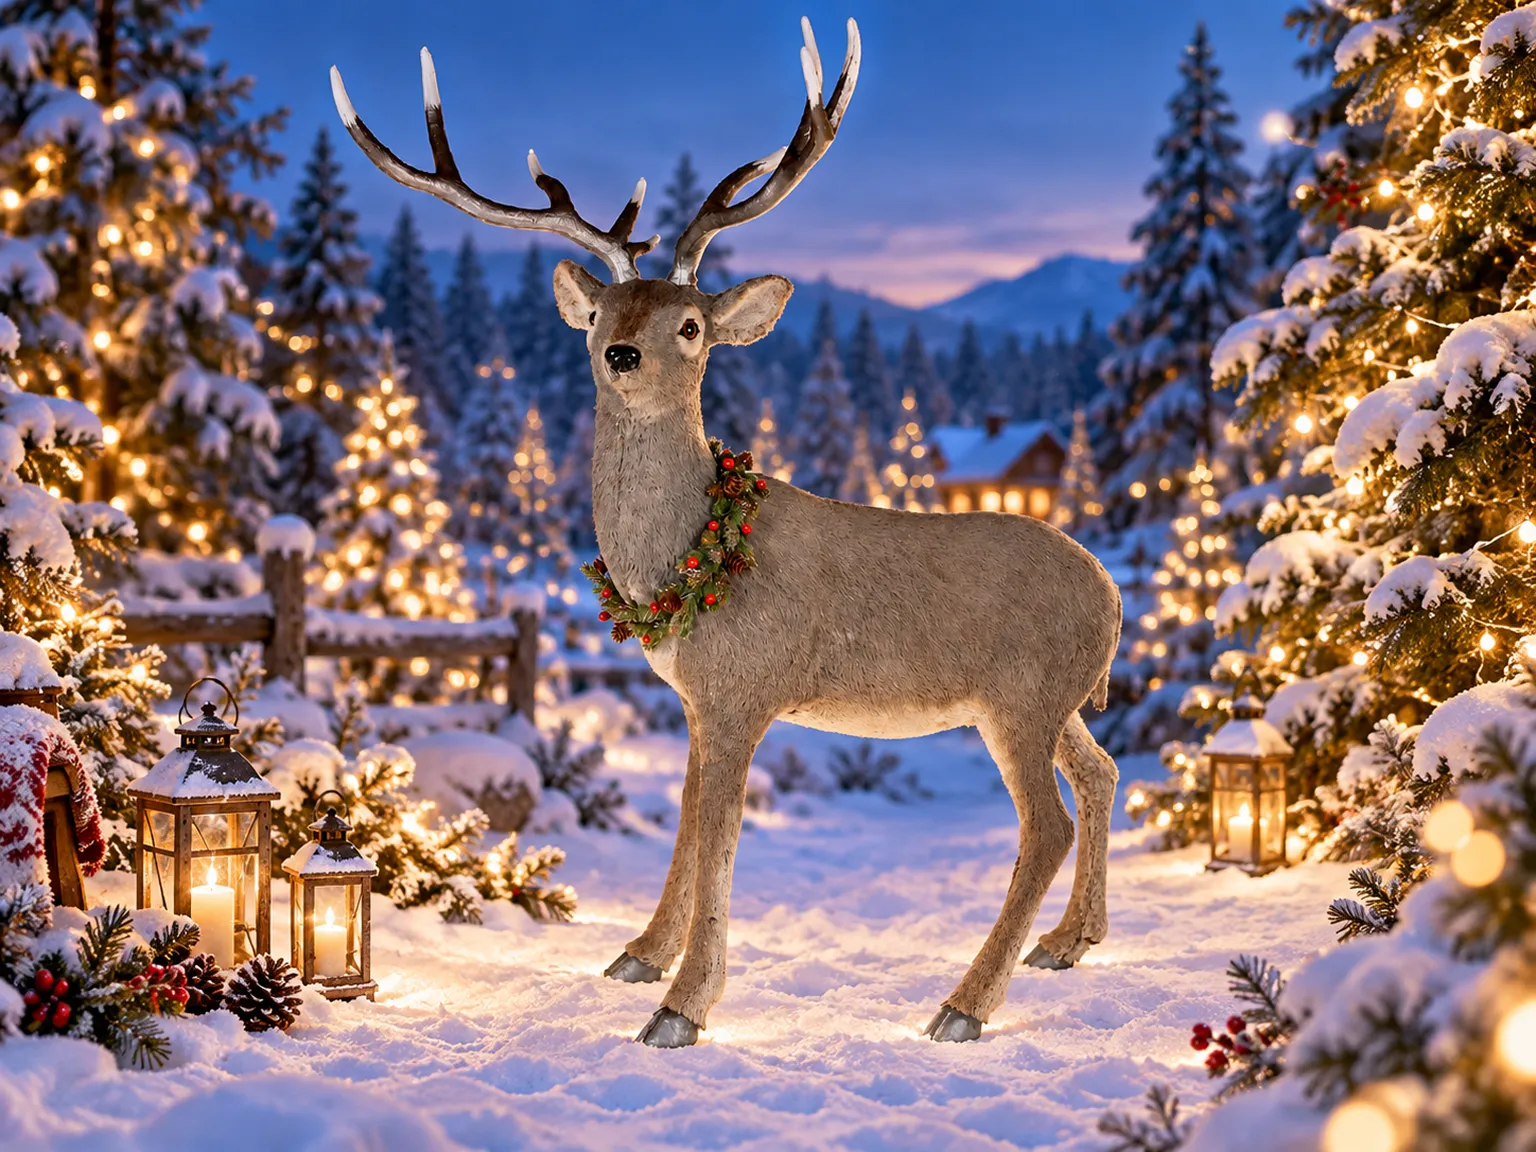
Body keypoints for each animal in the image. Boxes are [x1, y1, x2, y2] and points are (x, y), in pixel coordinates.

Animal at [331, 16, 1122, 1048]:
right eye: (604, 312)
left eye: (693, 325)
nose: (623, 351)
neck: (688, 563)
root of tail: (1111, 592)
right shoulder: (699, 700)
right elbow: (685, 815)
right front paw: (637, 956)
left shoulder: (748, 687)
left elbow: (721, 841)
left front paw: (682, 1006)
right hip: (1060, 700)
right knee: (1102, 774)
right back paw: (1069, 944)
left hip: (1020, 697)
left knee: (1046, 824)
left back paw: (963, 1005)